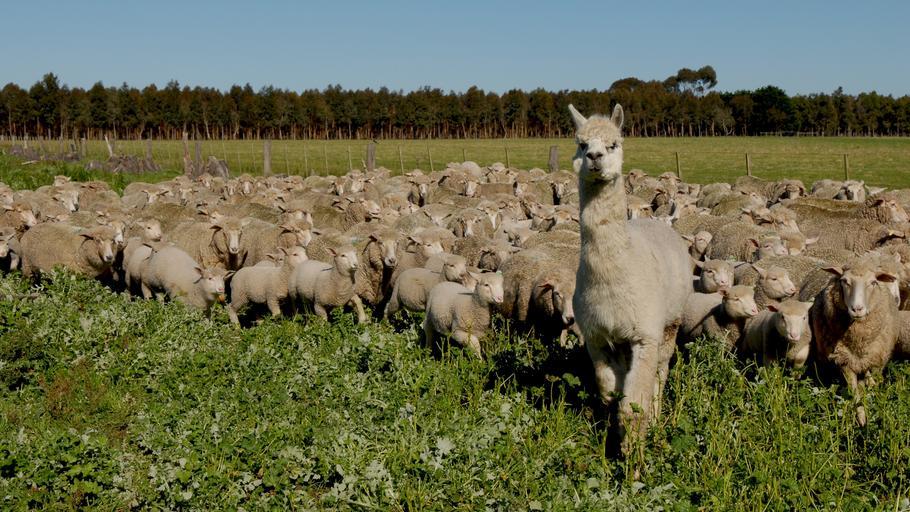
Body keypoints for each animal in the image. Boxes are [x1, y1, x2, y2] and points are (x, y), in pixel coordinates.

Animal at [569, 104, 692, 449]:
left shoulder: (645, 334)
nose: (595, 157)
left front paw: (633, 453)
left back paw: (658, 414)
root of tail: (659, 223)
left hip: (670, 322)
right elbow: (609, 391)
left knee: (661, 371)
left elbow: (633, 406)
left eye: (614, 144)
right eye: (581, 143)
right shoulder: (596, 335)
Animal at [808, 258, 900, 425]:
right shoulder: (844, 361)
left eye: (873, 282)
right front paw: (861, 418)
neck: (858, 343)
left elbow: (866, 386)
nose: (857, 309)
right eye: (844, 281)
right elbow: (854, 391)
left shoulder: (875, 361)